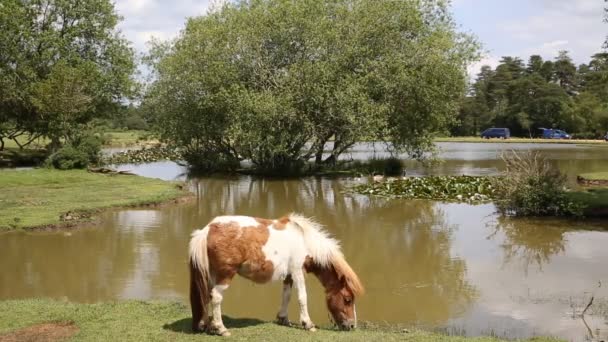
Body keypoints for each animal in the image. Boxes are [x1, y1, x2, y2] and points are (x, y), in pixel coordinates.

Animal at [188, 212, 364, 336]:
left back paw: (207, 326)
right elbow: (302, 298)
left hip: (211, 276)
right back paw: (221, 329)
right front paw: (308, 324)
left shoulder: (289, 276)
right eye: (348, 299)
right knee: (216, 297)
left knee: (206, 296)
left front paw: (283, 319)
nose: (352, 325)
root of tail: (207, 230)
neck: (305, 241)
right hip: (225, 276)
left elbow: (286, 296)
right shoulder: (298, 272)